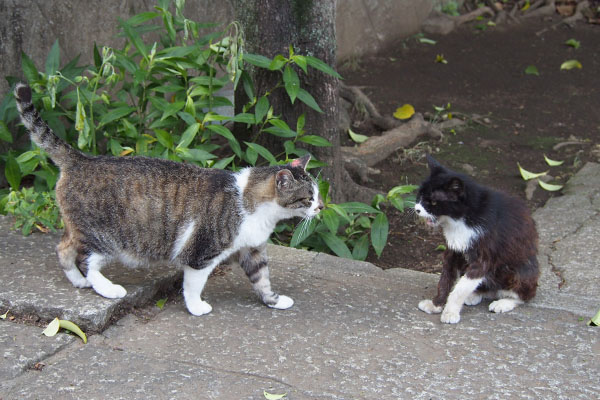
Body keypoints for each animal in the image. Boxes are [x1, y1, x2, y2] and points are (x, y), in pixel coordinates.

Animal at [418, 155, 540, 324]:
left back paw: (504, 302)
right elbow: (445, 279)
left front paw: (450, 312)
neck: (461, 219)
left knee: (524, 295)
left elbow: (460, 288)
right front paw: (436, 304)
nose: (417, 209)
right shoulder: (453, 250)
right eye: (419, 196)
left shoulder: (484, 257)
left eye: (433, 202)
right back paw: (475, 294)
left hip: (523, 270)